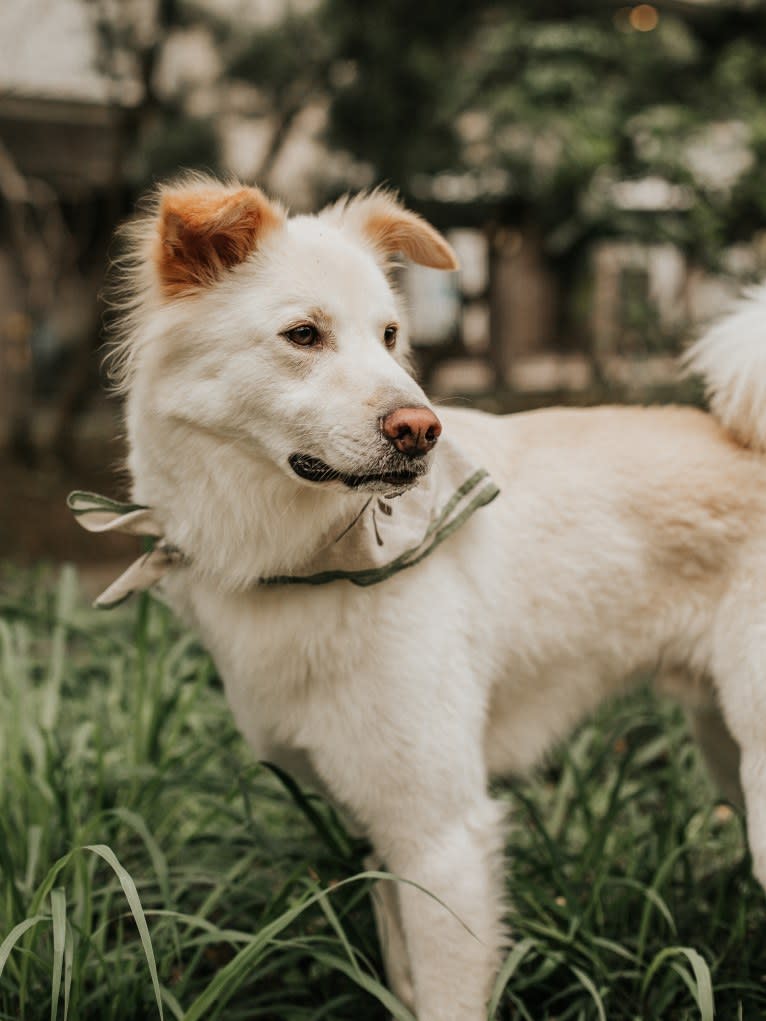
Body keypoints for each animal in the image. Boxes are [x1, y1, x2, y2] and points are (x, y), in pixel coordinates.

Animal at [75, 179, 766, 1016]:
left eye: (389, 334)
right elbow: (403, 985)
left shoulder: (443, 840)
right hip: (726, 750)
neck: (309, 559)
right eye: (303, 334)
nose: (420, 429)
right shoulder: (384, 834)